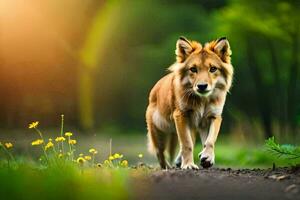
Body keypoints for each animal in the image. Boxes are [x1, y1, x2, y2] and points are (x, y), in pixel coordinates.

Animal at [146, 36, 233, 169]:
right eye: (193, 69)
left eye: (213, 69)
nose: (202, 86)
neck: (202, 100)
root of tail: (154, 88)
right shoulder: (181, 116)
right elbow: (187, 144)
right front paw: (188, 165)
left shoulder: (213, 117)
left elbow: (210, 140)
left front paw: (207, 157)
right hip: (160, 131)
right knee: (159, 152)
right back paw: (168, 167)